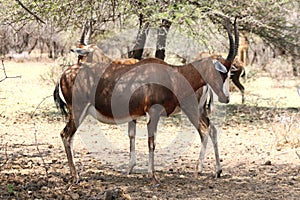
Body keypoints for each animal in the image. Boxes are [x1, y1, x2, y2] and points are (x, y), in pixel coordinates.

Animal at [53, 17, 237, 184]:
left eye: (228, 73)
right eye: (222, 72)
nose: (226, 98)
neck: (171, 74)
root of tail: (65, 74)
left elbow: (140, 138)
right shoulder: (152, 114)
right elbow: (150, 142)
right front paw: (153, 178)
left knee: (209, 130)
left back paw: (214, 171)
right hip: (78, 111)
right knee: (66, 135)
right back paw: (76, 177)